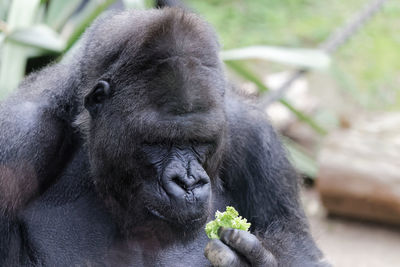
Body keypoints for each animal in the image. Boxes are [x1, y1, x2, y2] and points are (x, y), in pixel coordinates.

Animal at [0, 6, 324, 267]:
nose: (189, 182)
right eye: (157, 142)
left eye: (200, 141)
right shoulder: (17, 139)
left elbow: (302, 253)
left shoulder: (255, 136)